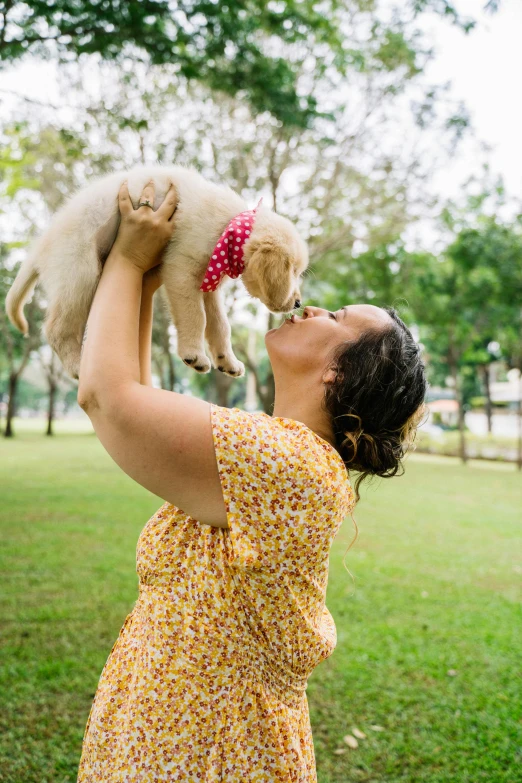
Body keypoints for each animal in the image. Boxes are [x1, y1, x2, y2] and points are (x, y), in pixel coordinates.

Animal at [6, 165, 306, 380]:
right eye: (293, 271)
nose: (298, 303)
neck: (227, 225)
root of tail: (41, 244)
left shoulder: (208, 280)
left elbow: (220, 325)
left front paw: (227, 361)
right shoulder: (180, 268)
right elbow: (195, 317)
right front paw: (194, 354)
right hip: (79, 272)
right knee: (58, 329)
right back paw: (78, 366)